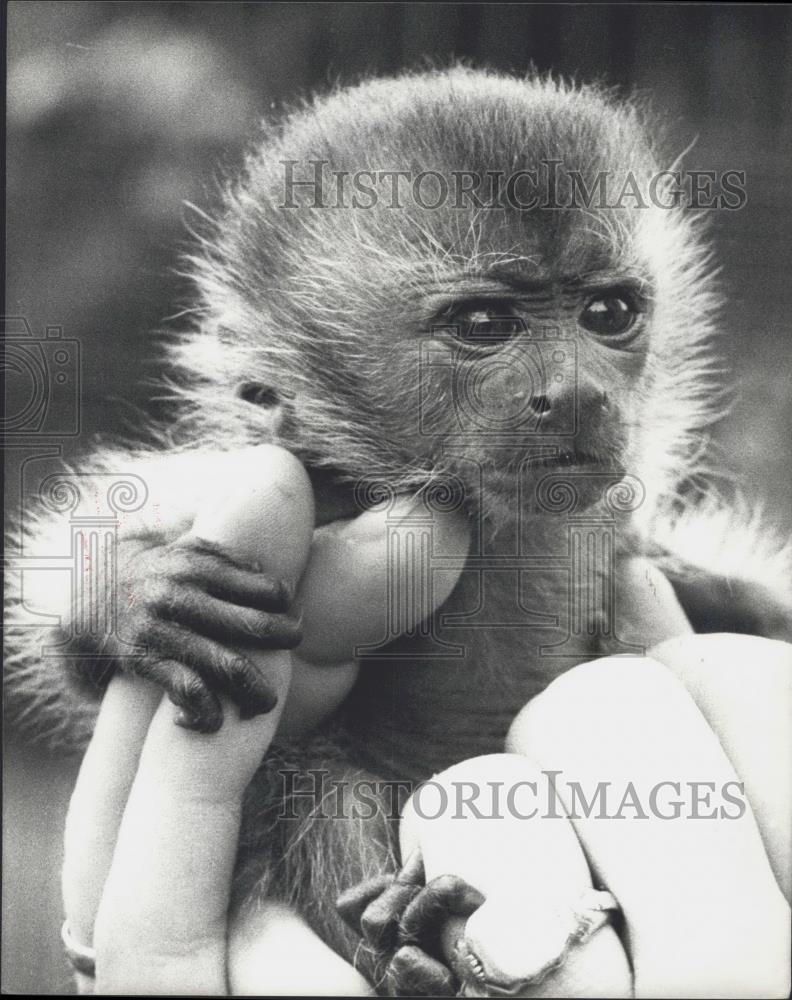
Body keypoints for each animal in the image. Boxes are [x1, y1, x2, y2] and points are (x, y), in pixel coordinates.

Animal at [7, 66, 792, 996]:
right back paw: (400, 939)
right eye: (484, 326)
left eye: (609, 313)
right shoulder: (315, 487)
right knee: (319, 787)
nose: (575, 393)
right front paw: (130, 595)